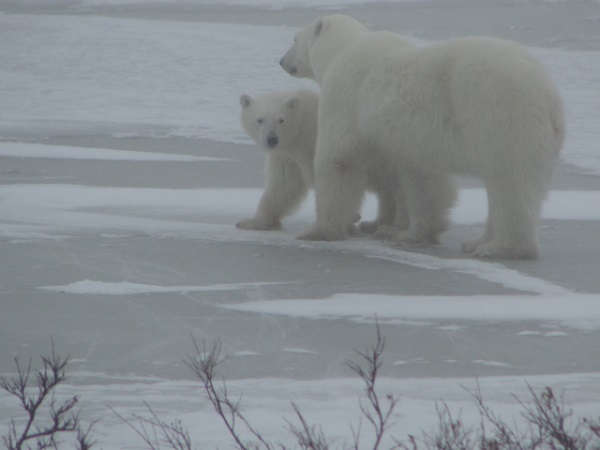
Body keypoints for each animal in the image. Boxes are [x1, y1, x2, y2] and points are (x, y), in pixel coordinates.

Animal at [278, 14, 564, 260]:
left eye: (294, 38)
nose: (281, 61)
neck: (343, 48)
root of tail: (548, 95)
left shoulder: (345, 94)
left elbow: (339, 159)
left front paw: (317, 231)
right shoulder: (416, 141)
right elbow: (423, 180)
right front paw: (412, 233)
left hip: (500, 114)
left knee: (509, 183)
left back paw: (501, 248)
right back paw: (476, 242)